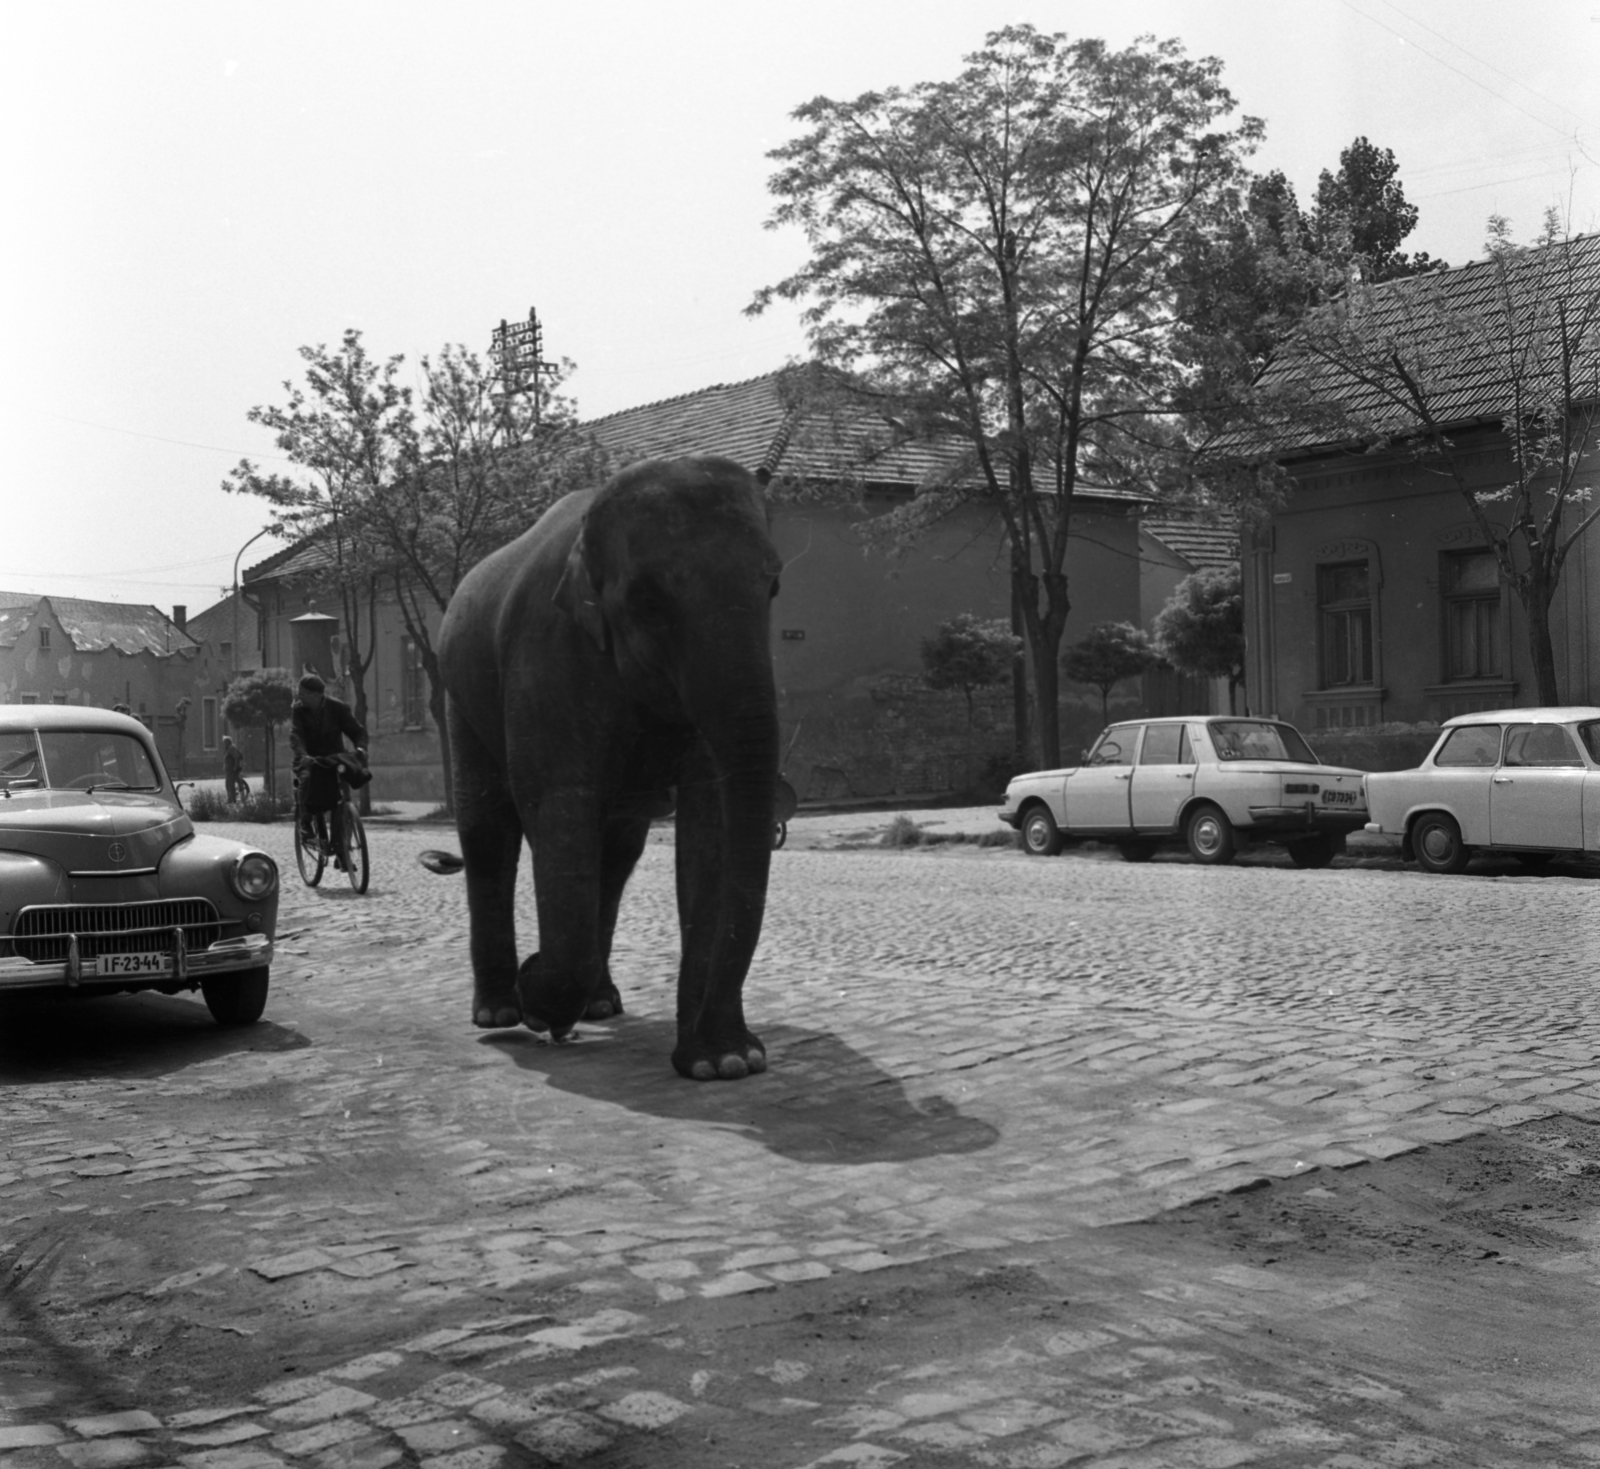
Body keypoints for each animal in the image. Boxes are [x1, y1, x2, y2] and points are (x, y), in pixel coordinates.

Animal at [435, 454, 784, 1088]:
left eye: (773, 585)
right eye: (647, 599)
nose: (742, 1057)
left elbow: (710, 828)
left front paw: (722, 1064)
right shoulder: (546, 658)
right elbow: (558, 803)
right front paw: (536, 993)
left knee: (617, 852)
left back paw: (597, 1003)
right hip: (459, 698)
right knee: (488, 832)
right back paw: (500, 1012)